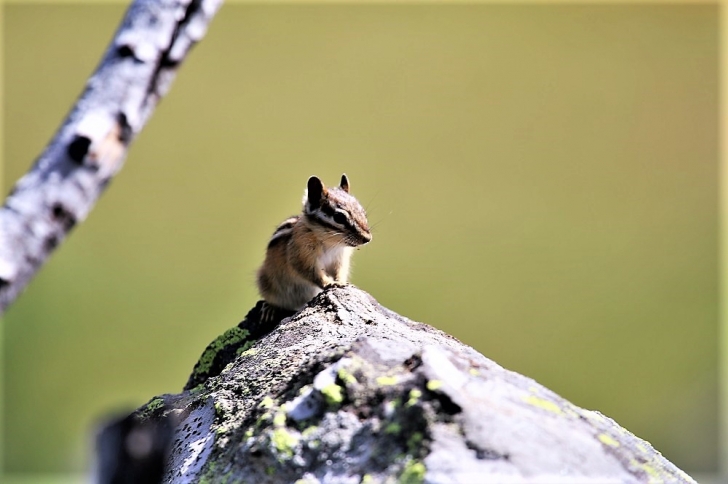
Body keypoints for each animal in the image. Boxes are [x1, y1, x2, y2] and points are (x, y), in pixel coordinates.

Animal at [256, 174, 372, 315]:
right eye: (339, 217)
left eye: (363, 212)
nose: (367, 238)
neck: (330, 242)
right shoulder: (301, 255)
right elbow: (312, 272)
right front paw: (329, 284)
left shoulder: (341, 258)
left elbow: (340, 270)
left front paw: (341, 282)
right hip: (266, 282)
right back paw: (270, 308)